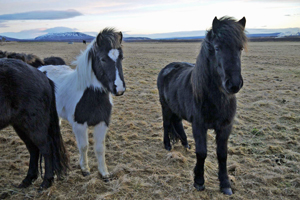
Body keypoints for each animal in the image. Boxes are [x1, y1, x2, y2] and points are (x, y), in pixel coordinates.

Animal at [0, 58, 69, 190]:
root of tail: (42, 76)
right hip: (21, 126)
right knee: (33, 149)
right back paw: (28, 179)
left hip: (33, 125)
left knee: (46, 148)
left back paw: (46, 181)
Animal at [38, 27, 125, 180]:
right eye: (102, 59)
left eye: (121, 57)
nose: (119, 89)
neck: (91, 95)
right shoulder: (79, 125)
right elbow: (84, 146)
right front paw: (85, 169)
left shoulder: (102, 123)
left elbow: (100, 148)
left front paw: (104, 173)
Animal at [157, 16, 246, 195]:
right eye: (217, 48)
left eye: (240, 48)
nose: (234, 84)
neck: (216, 99)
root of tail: (166, 69)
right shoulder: (199, 125)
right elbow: (202, 153)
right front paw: (198, 181)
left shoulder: (225, 127)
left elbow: (222, 155)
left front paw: (225, 184)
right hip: (166, 107)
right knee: (167, 124)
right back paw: (168, 145)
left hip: (176, 109)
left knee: (177, 123)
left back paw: (185, 144)